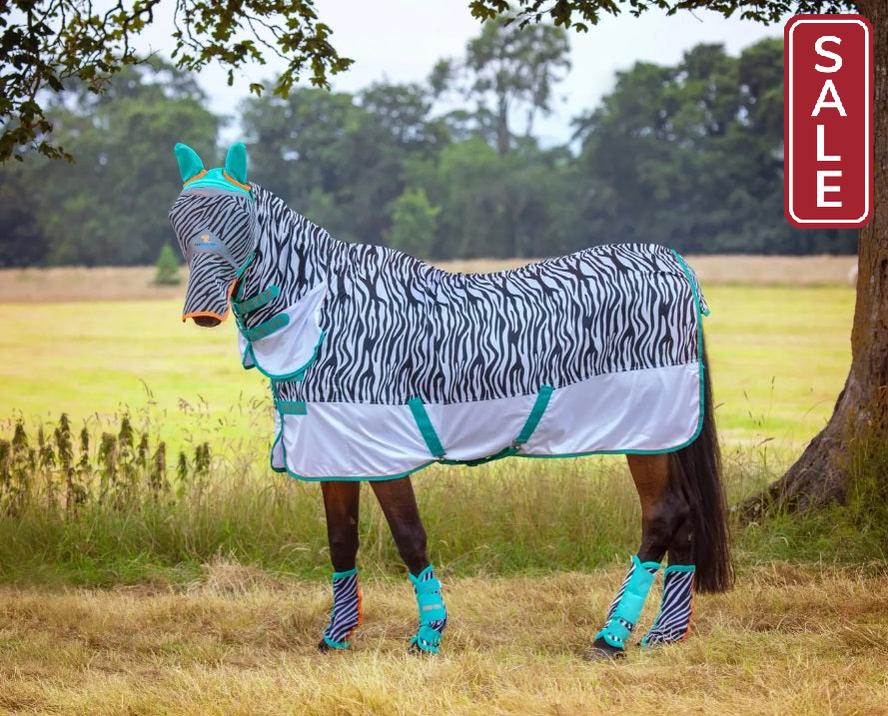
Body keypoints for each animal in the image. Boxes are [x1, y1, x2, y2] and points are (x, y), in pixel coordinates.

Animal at [168, 141, 732, 658]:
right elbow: (341, 539)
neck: (330, 317)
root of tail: (673, 264)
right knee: (686, 517)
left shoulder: (385, 452)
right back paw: (663, 635)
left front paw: (429, 635)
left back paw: (610, 637)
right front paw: (336, 637)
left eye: (238, 219)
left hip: (645, 435)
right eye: (177, 217)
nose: (202, 311)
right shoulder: (334, 450)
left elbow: (409, 536)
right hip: (664, 436)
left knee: (662, 514)